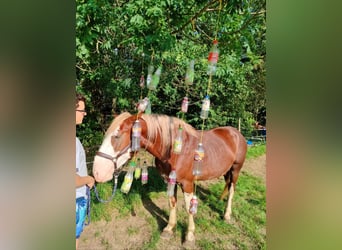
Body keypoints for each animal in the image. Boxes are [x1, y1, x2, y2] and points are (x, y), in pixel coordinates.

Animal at [92, 112, 247, 247]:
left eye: (117, 136)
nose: (97, 172)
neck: (175, 150)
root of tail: (236, 132)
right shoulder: (169, 181)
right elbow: (172, 203)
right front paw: (169, 229)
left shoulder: (187, 184)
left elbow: (189, 208)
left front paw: (189, 237)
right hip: (227, 170)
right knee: (227, 185)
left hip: (236, 169)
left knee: (232, 190)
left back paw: (227, 215)